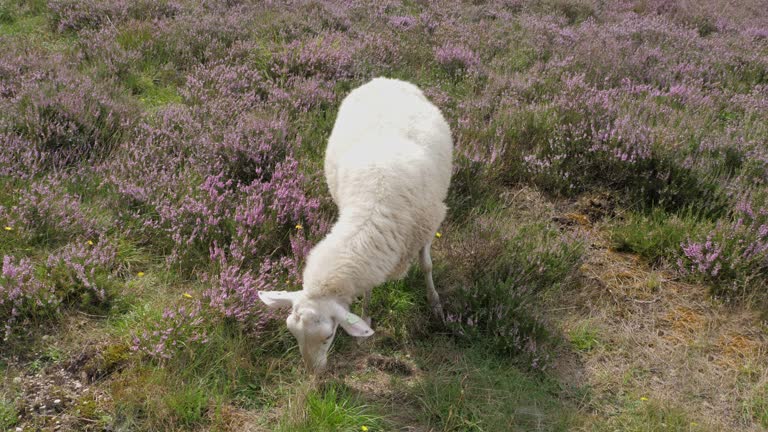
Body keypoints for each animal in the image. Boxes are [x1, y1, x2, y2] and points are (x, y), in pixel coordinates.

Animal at [258, 77, 452, 372]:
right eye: (292, 332)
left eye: (329, 335)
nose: (314, 373)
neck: (373, 205)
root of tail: (383, 79)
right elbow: (369, 287)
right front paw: (366, 316)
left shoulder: (428, 225)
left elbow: (427, 266)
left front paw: (435, 304)